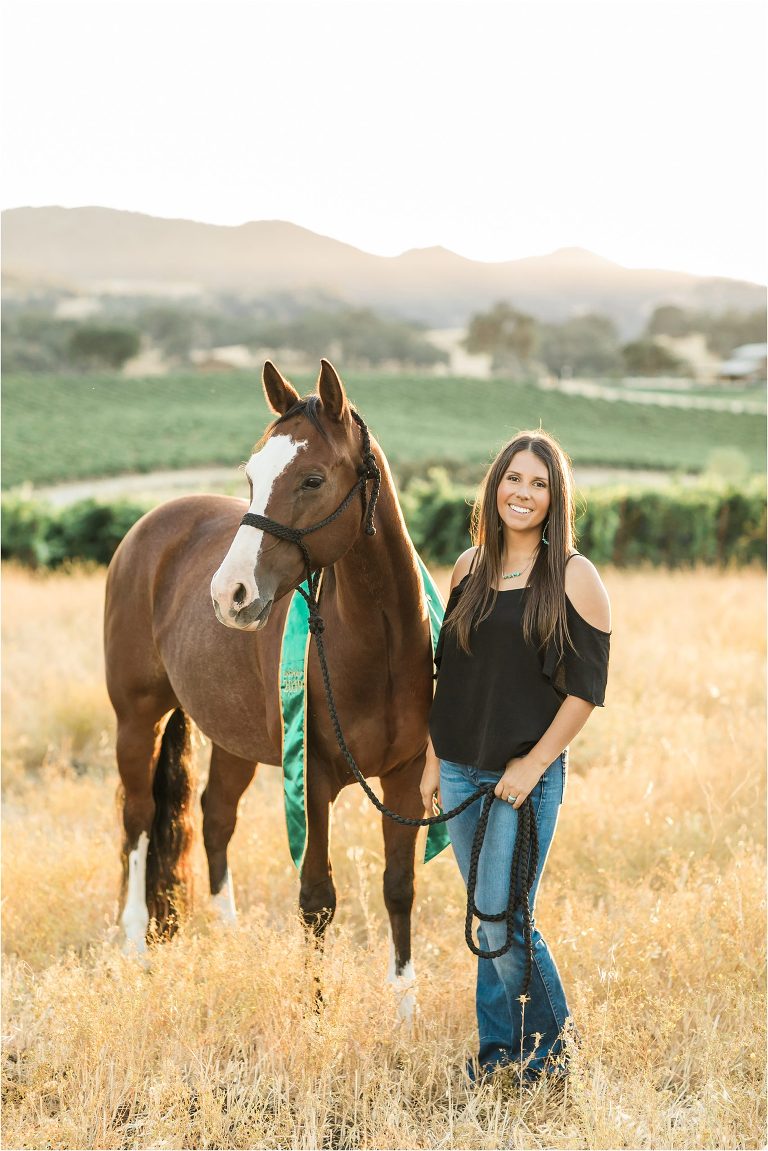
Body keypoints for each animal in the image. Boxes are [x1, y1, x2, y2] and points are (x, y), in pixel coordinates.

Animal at [104, 359, 435, 1013]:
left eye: (312, 479)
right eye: (252, 477)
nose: (229, 594)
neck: (381, 645)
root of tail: (147, 530)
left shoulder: (406, 778)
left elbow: (399, 887)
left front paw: (405, 1007)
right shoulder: (314, 779)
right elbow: (317, 900)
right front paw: (316, 1013)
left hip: (231, 737)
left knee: (214, 815)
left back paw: (227, 934)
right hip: (137, 720)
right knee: (137, 820)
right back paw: (133, 948)